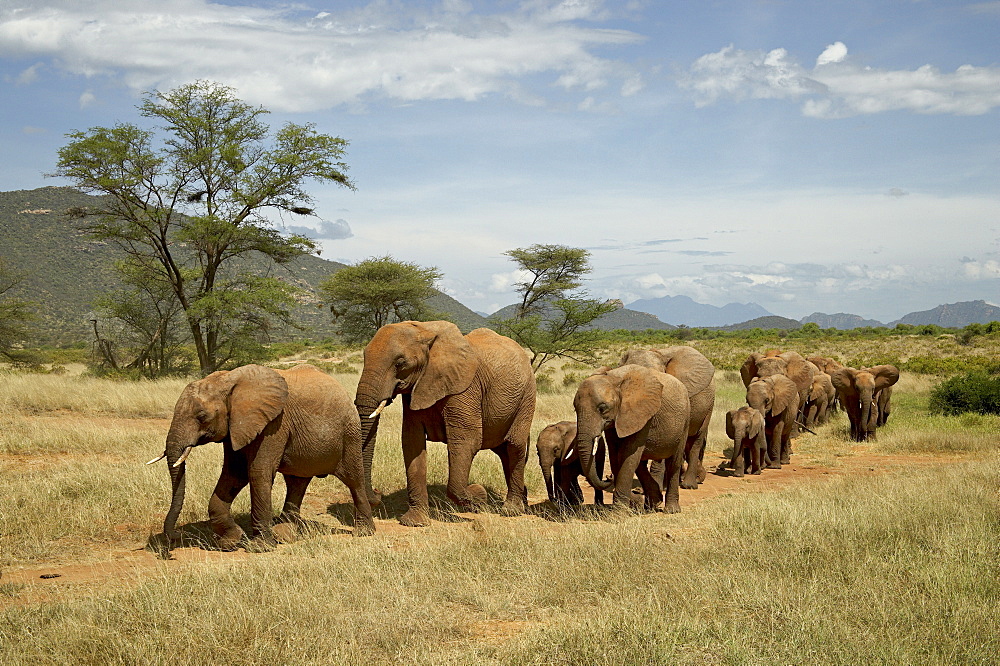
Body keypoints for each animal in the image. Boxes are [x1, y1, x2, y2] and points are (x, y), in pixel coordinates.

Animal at [152, 360, 376, 548]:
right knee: (296, 483)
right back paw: (285, 533)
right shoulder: (236, 428)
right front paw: (231, 542)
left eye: (201, 416)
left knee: (353, 480)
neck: (229, 380)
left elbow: (258, 472)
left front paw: (259, 547)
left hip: (350, 433)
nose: (176, 536)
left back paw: (364, 532)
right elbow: (234, 474)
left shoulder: (274, 424)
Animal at [356, 320, 536, 528]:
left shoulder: (465, 388)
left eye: (400, 363)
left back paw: (511, 510)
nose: (377, 494)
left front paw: (478, 496)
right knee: (504, 451)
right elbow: (412, 443)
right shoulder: (416, 390)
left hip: (527, 396)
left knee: (514, 446)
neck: (425, 330)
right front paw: (415, 522)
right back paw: (522, 499)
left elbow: (466, 442)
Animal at [576, 364, 692, 512]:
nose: (608, 478)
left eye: (602, 408)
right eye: (575, 409)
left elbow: (628, 457)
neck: (614, 379)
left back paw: (671, 510)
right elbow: (616, 457)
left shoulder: (643, 415)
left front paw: (618, 512)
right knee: (641, 464)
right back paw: (653, 504)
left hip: (685, 422)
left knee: (673, 463)